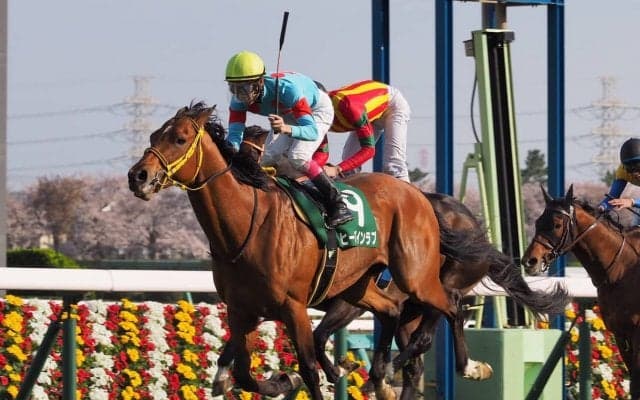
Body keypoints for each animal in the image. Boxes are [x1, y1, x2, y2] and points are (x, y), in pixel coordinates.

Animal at [128, 102, 459, 400]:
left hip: (413, 277)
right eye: (153, 136)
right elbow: (243, 373)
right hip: (356, 286)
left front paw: (303, 376)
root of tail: (418, 195)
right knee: (392, 310)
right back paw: (381, 376)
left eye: (180, 139)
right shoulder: (242, 309)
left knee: (449, 303)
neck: (248, 226)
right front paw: (280, 381)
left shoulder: (294, 307)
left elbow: (309, 369)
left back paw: (458, 362)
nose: (138, 176)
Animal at [240, 126, 569, 398]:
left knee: (429, 333)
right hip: (412, 308)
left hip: (439, 285)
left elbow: (320, 336)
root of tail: (473, 225)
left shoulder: (347, 300)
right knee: (415, 362)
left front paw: (345, 373)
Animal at [521, 185, 640, 399]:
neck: (621, 269)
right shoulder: (620, 332)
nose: (529, 261)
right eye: (537, 222)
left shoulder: (637, 332)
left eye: (557, 225)